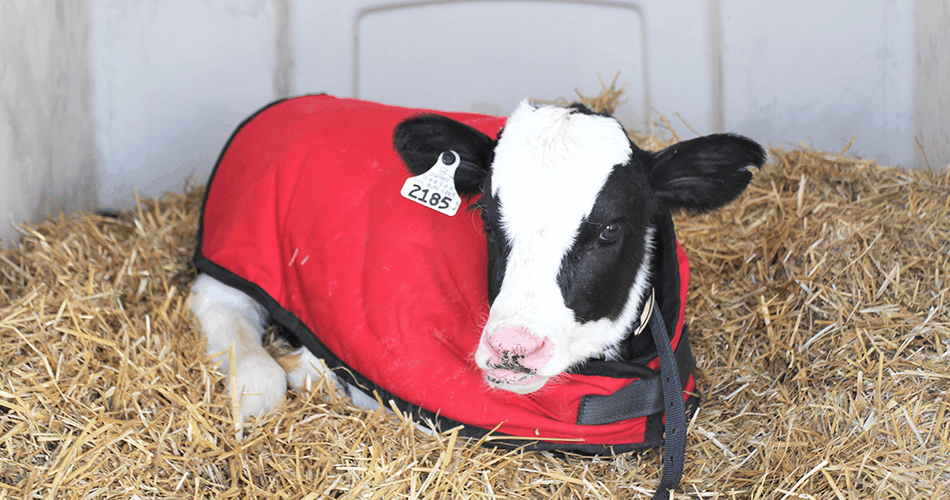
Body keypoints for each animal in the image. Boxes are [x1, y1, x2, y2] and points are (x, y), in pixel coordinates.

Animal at [188, 98, 768, 418]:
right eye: (486, 218)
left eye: (608, 230)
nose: (514, 348)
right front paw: (309, 369)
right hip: (236, 251)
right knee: (228, 320)